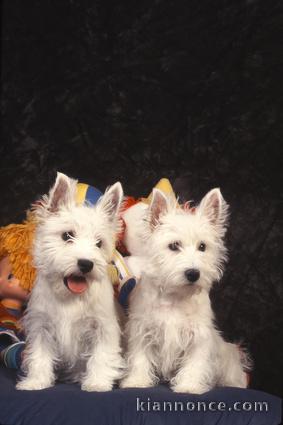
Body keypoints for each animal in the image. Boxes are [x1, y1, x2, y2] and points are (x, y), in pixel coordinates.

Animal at [16, 172, 124, 390]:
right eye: (67, 235)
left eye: (99, 243)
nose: (86, 264)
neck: (69, 297)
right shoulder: (42, 326)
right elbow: (39, 356)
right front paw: (36, 382)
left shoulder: (103, 327)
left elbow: (101, 356)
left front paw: (97, 383)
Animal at [121, 187, 251, 392]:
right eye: (174, 245)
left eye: (202, 246)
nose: (193, 273)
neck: (176, 296)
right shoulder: (142, 329)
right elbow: (140, 358)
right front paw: (137, 381)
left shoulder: (198, 336)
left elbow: (194, 362)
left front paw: (189, 386)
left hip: (228, 356)